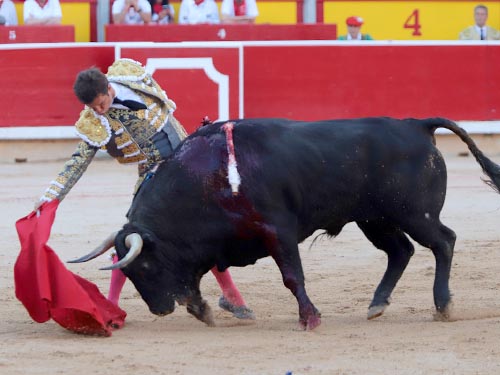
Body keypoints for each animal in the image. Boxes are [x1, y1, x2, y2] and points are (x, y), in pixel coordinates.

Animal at [72, 117, 500, 328]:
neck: (208, 177)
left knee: (443, 241)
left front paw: (309, 318)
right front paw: (206, 311)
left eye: (144, 266)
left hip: (414, 213)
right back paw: (377, 304)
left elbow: (292, 277)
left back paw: (442, 305)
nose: (160, 310)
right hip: (374, 219)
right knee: (401, 251)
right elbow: (197, 280)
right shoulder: (212, 243)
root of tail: (415, 124)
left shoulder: (277, 231)